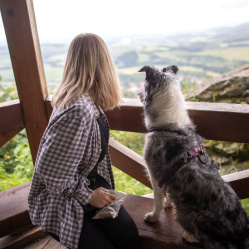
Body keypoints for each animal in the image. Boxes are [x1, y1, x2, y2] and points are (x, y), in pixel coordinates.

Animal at [138, 65, 249, 248]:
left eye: (144, 86)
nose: (138, 93)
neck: (170, 126)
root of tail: (242, 234)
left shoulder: (154, 173)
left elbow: (158, 199)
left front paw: (153, 217)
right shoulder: (165, 176)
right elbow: (166, 194)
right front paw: (168, 204)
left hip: (188, 212)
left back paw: (189, 236)